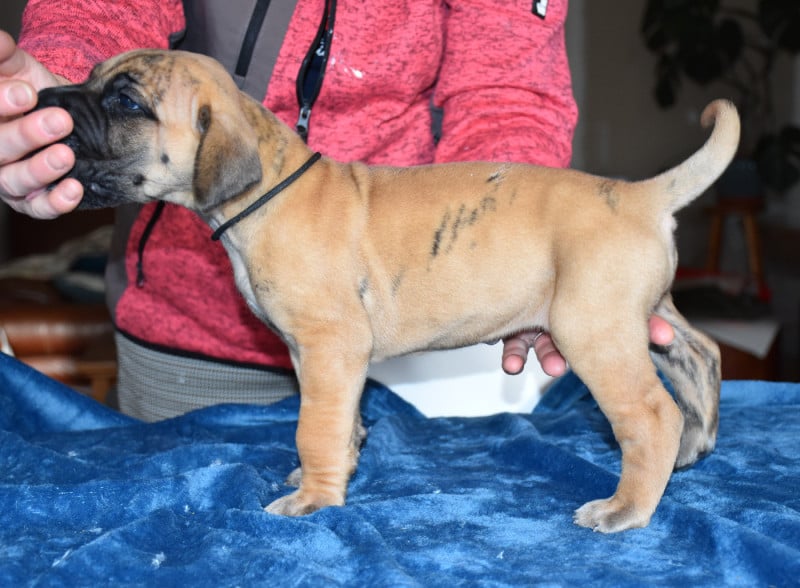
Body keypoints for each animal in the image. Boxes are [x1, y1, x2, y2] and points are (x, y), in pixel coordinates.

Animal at [36, 49, 736, 532]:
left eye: (127, 103)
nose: (45, 93)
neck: (268, 189)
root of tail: (641, 194)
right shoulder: (318, 357)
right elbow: (338, 418)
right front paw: (335, 472)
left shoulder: (330, 346)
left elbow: (314, 424)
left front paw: (314, 499)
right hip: (647, 315)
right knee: (701, 356)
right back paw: (695, 447)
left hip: (594, 329)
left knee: (651, 414)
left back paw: (626, 507)